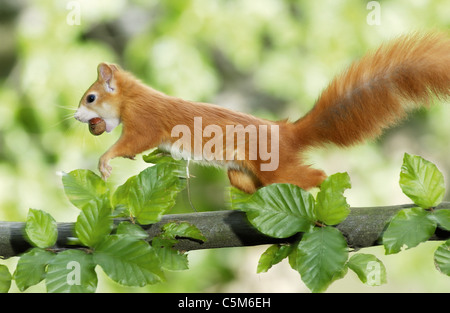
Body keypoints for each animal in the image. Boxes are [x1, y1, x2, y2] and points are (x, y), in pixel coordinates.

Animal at [74, 32, 450, 193]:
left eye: (90, 98)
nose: (77, 117)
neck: (132, 98)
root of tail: (287, 132)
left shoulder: (146, 120)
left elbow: (133, 142)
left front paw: (105, 161)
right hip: (240, 172)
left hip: (274, 166)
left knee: (311, 176)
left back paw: (324, 188)